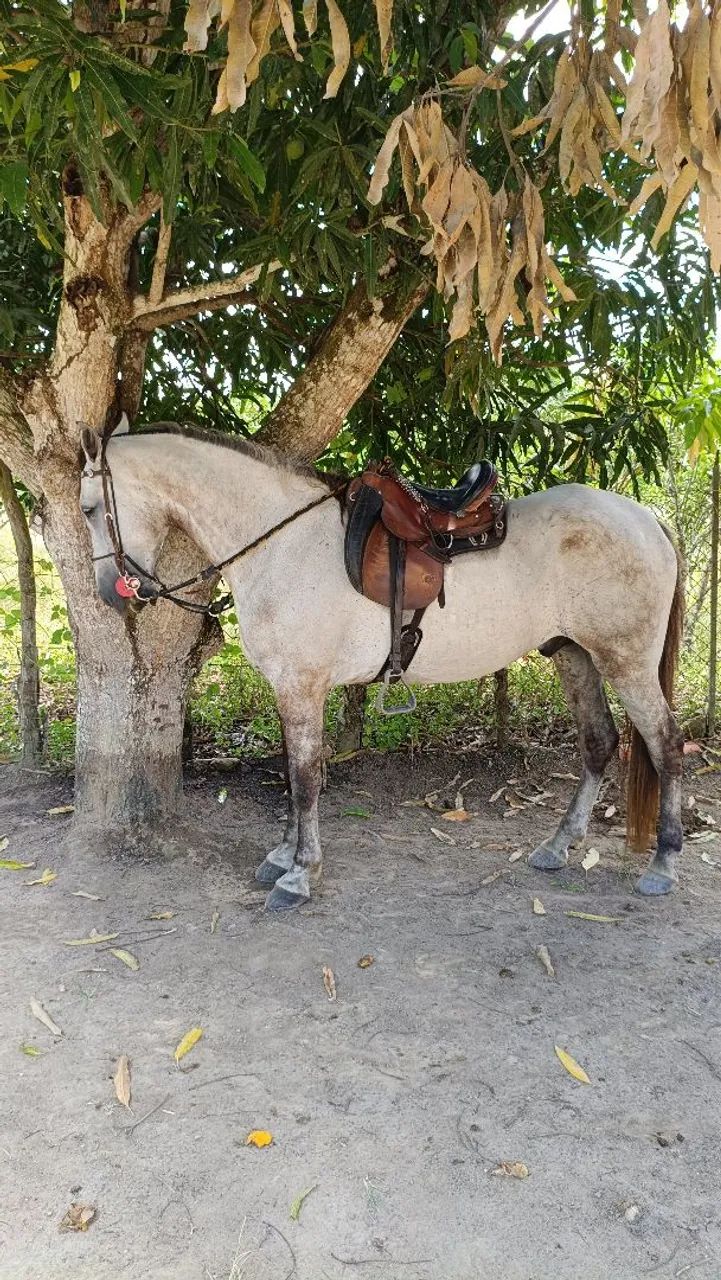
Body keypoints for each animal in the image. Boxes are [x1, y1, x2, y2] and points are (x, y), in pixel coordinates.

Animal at [78, 417, 685, 912]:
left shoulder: (302, 685)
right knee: (599, 742)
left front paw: (300, 875)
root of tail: (646, 518)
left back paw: (663, 863)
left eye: (87, 508)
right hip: (574, 653)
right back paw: (558, 846)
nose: (112, 593)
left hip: (627, 661)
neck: (282, 544)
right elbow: (293, 773)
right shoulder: (290, 688)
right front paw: (283, 855)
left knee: (666, 744)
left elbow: (305, 776)